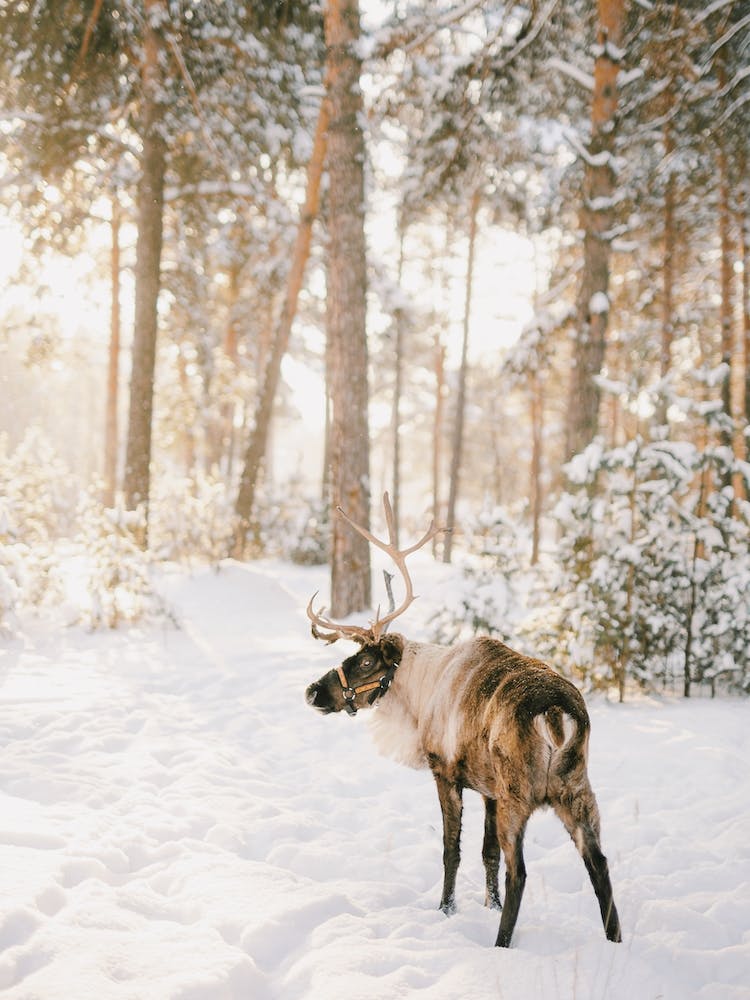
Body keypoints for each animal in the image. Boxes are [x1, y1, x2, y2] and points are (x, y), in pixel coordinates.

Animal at [304, 493, 622, 949]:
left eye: (364, 661)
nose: (313, 691)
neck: (417, 697)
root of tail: (557, 713)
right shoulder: (487, 790)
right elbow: (486, 853)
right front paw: (485, 905)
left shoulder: (446, 772)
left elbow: (451, 849)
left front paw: (446, 909)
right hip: (576, 790)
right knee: (599, 863)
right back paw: (615, 941)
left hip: (518, 794)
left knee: (520, 872)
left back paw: (501, 944)